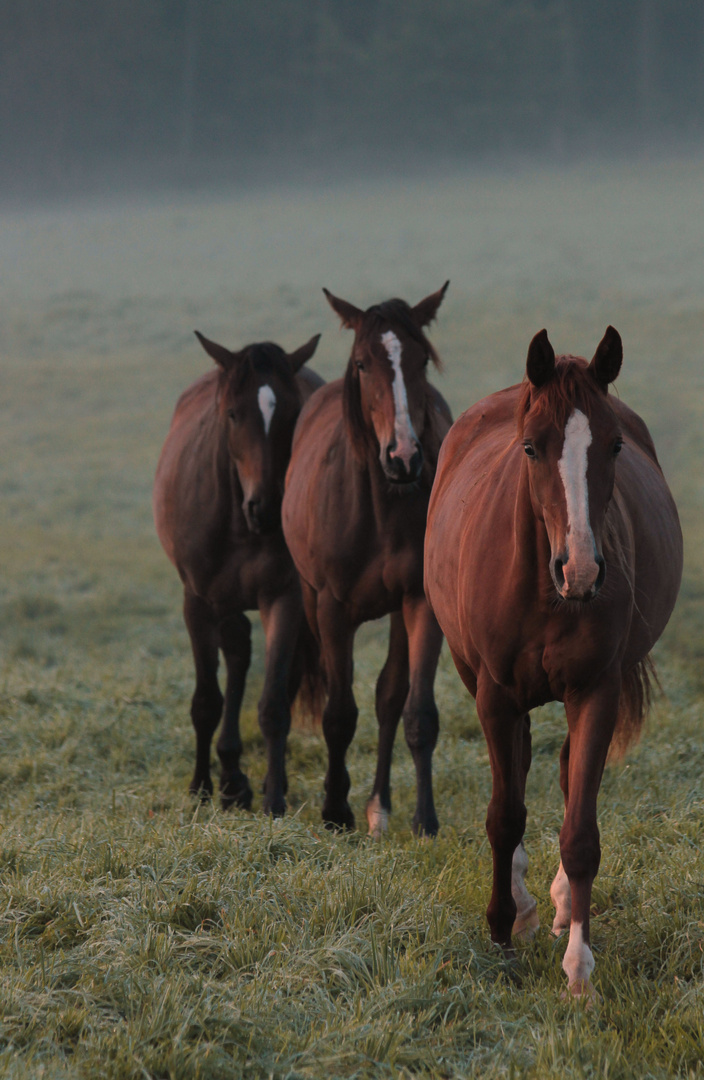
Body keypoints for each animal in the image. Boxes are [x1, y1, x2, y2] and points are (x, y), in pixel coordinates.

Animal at [154, 324, 323, 812]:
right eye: (232, 414)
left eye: (292, 412)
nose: (265, 507)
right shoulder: (198, 600)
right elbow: (207, 700)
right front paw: (200, 787)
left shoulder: (285, 598)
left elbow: (273, 704)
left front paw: (274, 800)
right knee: (236, 652)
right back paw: (229, 777)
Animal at [282, 285, 453, 833]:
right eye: (362, 363)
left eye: (422, 360)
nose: (404, 457)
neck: (381, 507)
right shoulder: (332, 606)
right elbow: (338, 713)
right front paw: (335, 811)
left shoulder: (421, 601)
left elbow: (416, 710)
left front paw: (425, 820)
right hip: (310, 599)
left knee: (390, 696)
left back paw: (380, 805)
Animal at [423, 326, 682, 993]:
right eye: (532, 447)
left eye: (614, 445)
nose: (582, 569)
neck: (545, 591)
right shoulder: (495, 694)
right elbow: (503, 815)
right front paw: (500, 935)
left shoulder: (596, 691)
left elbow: (580, 831)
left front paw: (579, 968)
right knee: (513, 776)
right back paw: (521, 906)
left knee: (564, 774)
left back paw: (561, 906)